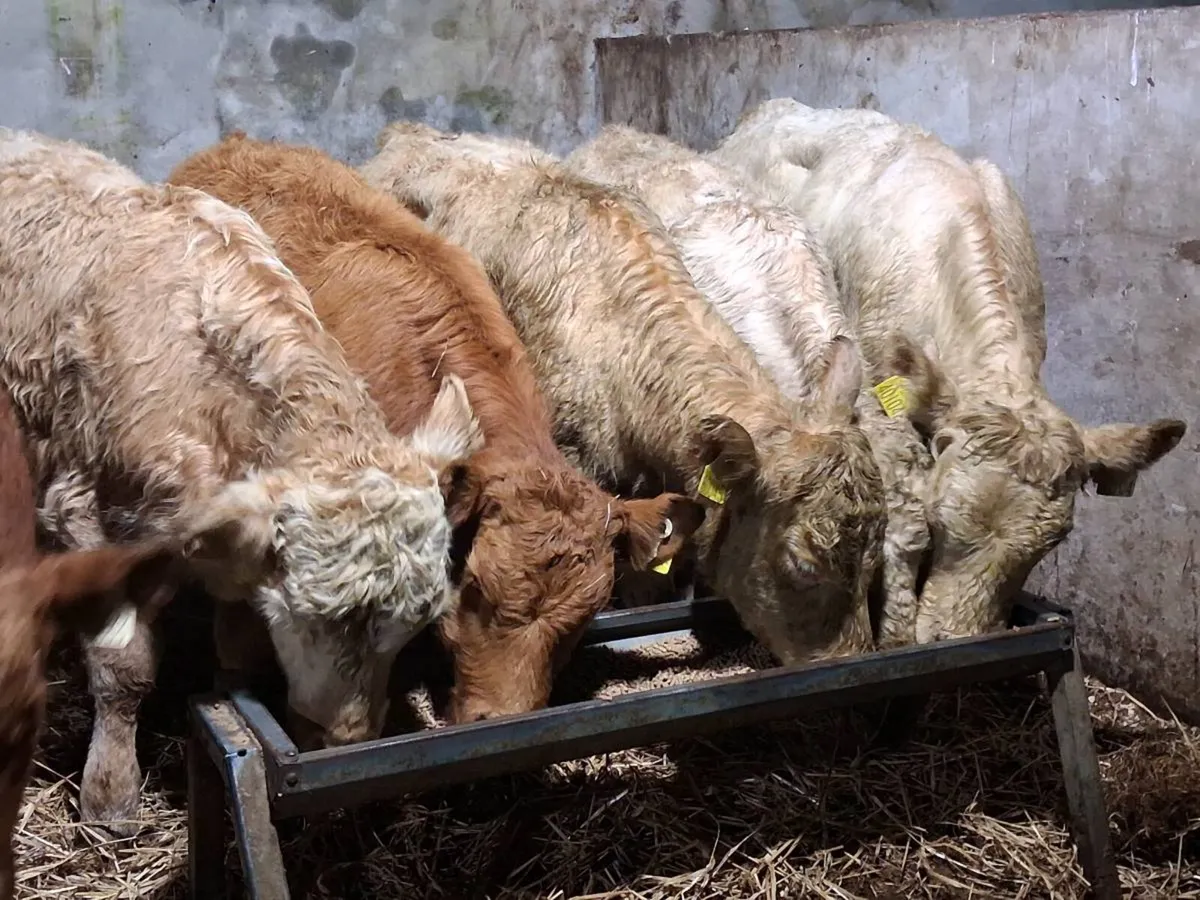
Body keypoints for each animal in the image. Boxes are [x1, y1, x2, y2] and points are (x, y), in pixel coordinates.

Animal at [0, 128, 483, 833]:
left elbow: (238, 649)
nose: (347, 735)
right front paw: (111, 794)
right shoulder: (88, 515)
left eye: (417, 622)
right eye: (313, 616)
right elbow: (123, 667)